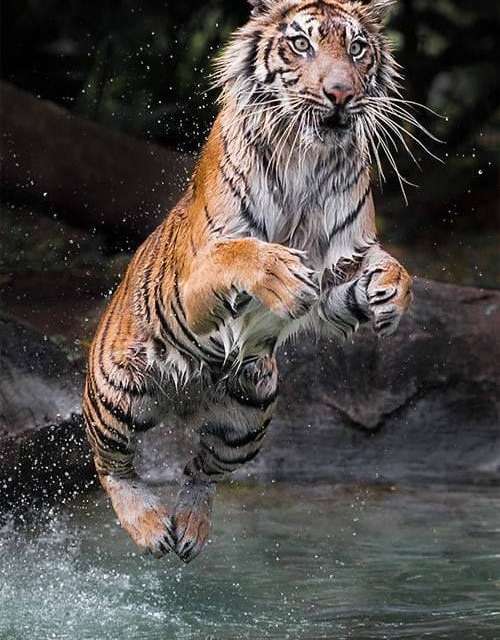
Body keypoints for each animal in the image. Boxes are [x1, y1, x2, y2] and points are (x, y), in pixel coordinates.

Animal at [83, 0, 414, 560]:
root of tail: (182, 402)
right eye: (301, 44)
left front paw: (389, 290)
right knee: (112, 465)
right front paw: (280, 273)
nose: (340, 93)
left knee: (201, 470)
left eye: (356, 49)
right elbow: (240, 254)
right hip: (118, 390)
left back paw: (189, 528)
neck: (308, 157)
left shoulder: (341, 267)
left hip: (251, 414)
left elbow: (374, 275)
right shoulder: (194, 282)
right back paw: (148, 525)